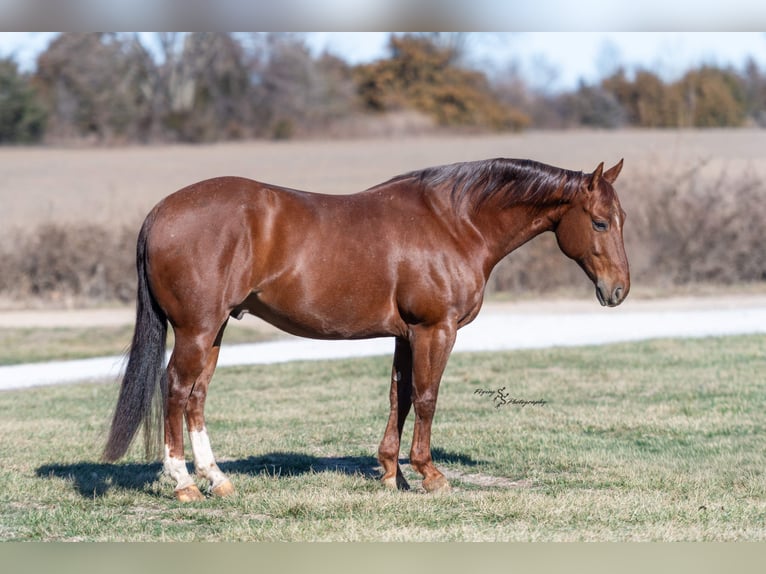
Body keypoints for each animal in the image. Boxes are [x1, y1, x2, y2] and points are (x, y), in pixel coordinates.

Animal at [103, 157, 629, 501]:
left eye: (620, 219)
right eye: (600, 223)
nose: (619, 290)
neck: (454, 223)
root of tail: (160, 212)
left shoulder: (405, 334)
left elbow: (400, 397)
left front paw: (392, 474)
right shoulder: (435, 330)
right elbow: (427, 397)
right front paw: (430, 475)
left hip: (212, 334)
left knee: (196, 396)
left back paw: (218, 479)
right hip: (195, 331)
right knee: (175, 390)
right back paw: (184, 483)